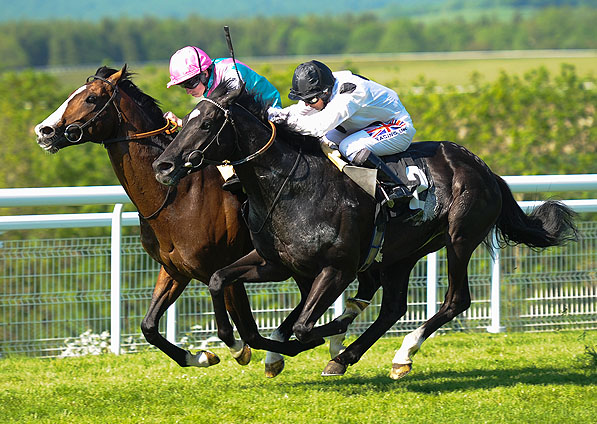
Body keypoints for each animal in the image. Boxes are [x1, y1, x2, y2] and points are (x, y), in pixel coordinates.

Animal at [33, 64, 330, 372]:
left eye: (90, 98)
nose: (43, 131)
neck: (177, 197)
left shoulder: (225, 269)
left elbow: (248, 333)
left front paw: (247, 351)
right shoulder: (174, 269)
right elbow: (149, 326)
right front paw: (200, 356)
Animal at [151, 82, 576, 378]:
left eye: (207, 123)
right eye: (186, 120)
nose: (164, 165)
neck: (292, 187)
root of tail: (483, 167)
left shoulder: (336, 269)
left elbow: (304, 326)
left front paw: (324, 332)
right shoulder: (274, 262)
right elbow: (220, 281)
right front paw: (233, 341)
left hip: (459, 238)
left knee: (455, 300)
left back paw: (396, 350)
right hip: (404, 253)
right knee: (393, 307)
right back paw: (350, 355)